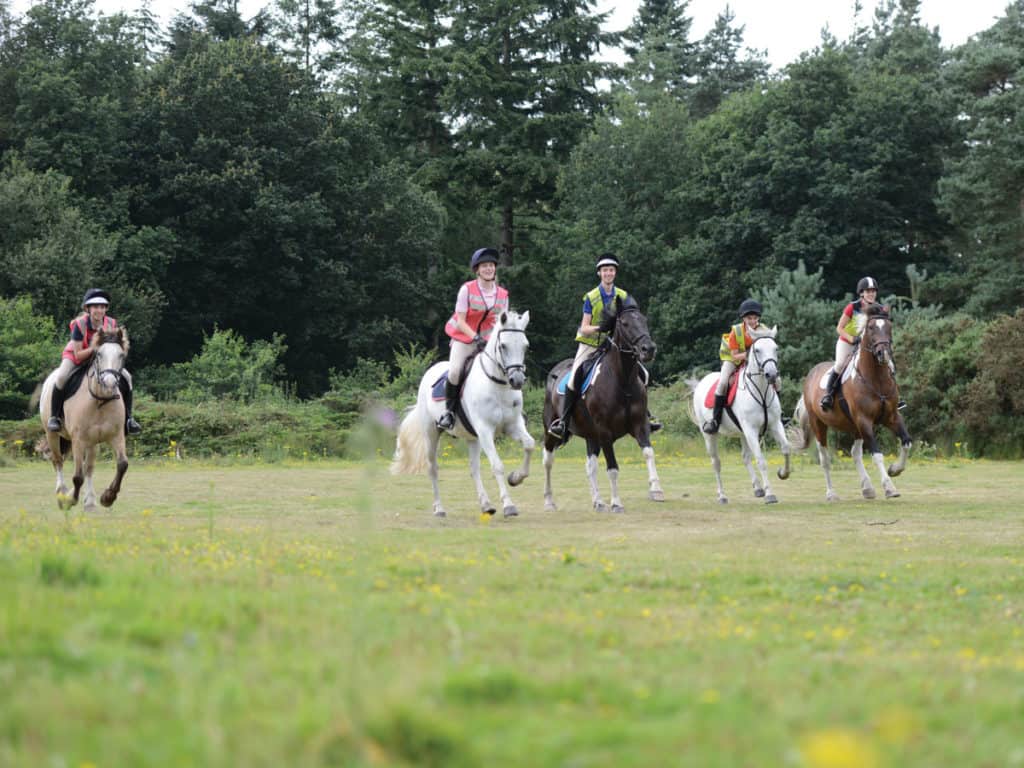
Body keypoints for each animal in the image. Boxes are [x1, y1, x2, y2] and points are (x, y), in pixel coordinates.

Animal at [38, 327, 131, 514]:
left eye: (121, 355)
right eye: (99, 354)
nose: (110, 383)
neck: (100, 401)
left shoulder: (116, 436)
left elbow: (122, 465)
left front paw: (108, 497)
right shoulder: (78, 440)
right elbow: (77, 477)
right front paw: (69, 500)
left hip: (92, 442)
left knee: (89, 468)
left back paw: (90, 501)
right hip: (52, 434)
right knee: (58, 461)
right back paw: (62, 493)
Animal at [391, 309, 536, 520]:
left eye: (525, 346)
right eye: (503, 346)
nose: (517, 380)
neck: (498, 385)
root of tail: (430, 371)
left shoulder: (513, 426)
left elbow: (529, 445)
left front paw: (516, 478)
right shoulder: (485, 430)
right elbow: (497, 465)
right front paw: (509, 505)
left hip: (472, 437)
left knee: (473, 469)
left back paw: (486, 505)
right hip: (431, 433)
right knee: (433, 468)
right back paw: (439, 509)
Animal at [544, 296, 663, 514]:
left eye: (644, 320)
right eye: (624, 323)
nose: (648, 349)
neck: (622, 381)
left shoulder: (640, 425)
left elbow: (648, 453)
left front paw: (656, 489)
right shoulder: (605, 432)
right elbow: (613, 468)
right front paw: (616, 503)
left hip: (591, 435)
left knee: (590, 467)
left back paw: (598, 501)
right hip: (552, 430)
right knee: (548, 461)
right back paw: (549, 501)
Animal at [688, 331, 790, 505]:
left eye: (776, 348)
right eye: (757, 350)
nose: (772, 375)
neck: (761, 392)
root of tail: (701, 383)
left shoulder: (775, 425)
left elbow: (786, 448)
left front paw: (783, 473)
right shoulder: (751, 430)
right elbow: (761, 460)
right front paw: (770, 494)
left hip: (742, 433)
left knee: (745, 457)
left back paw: (757, 488)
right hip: (709, 434)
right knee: (716, 462)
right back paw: (722, 496)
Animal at [790, 303, 913, 501]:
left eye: (889, 327)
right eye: (870, 328)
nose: (883, 353)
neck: (876, 379)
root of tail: (811, 374)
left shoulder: (892, 417)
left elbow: (907, 442)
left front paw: (895, 470)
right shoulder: (864, 421)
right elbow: (877, 455)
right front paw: (889, 487)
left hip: (855, 427)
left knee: (855, 454)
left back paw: (867, 489)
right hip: (819, 424)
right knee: (825, 459)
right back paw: (831, 493)